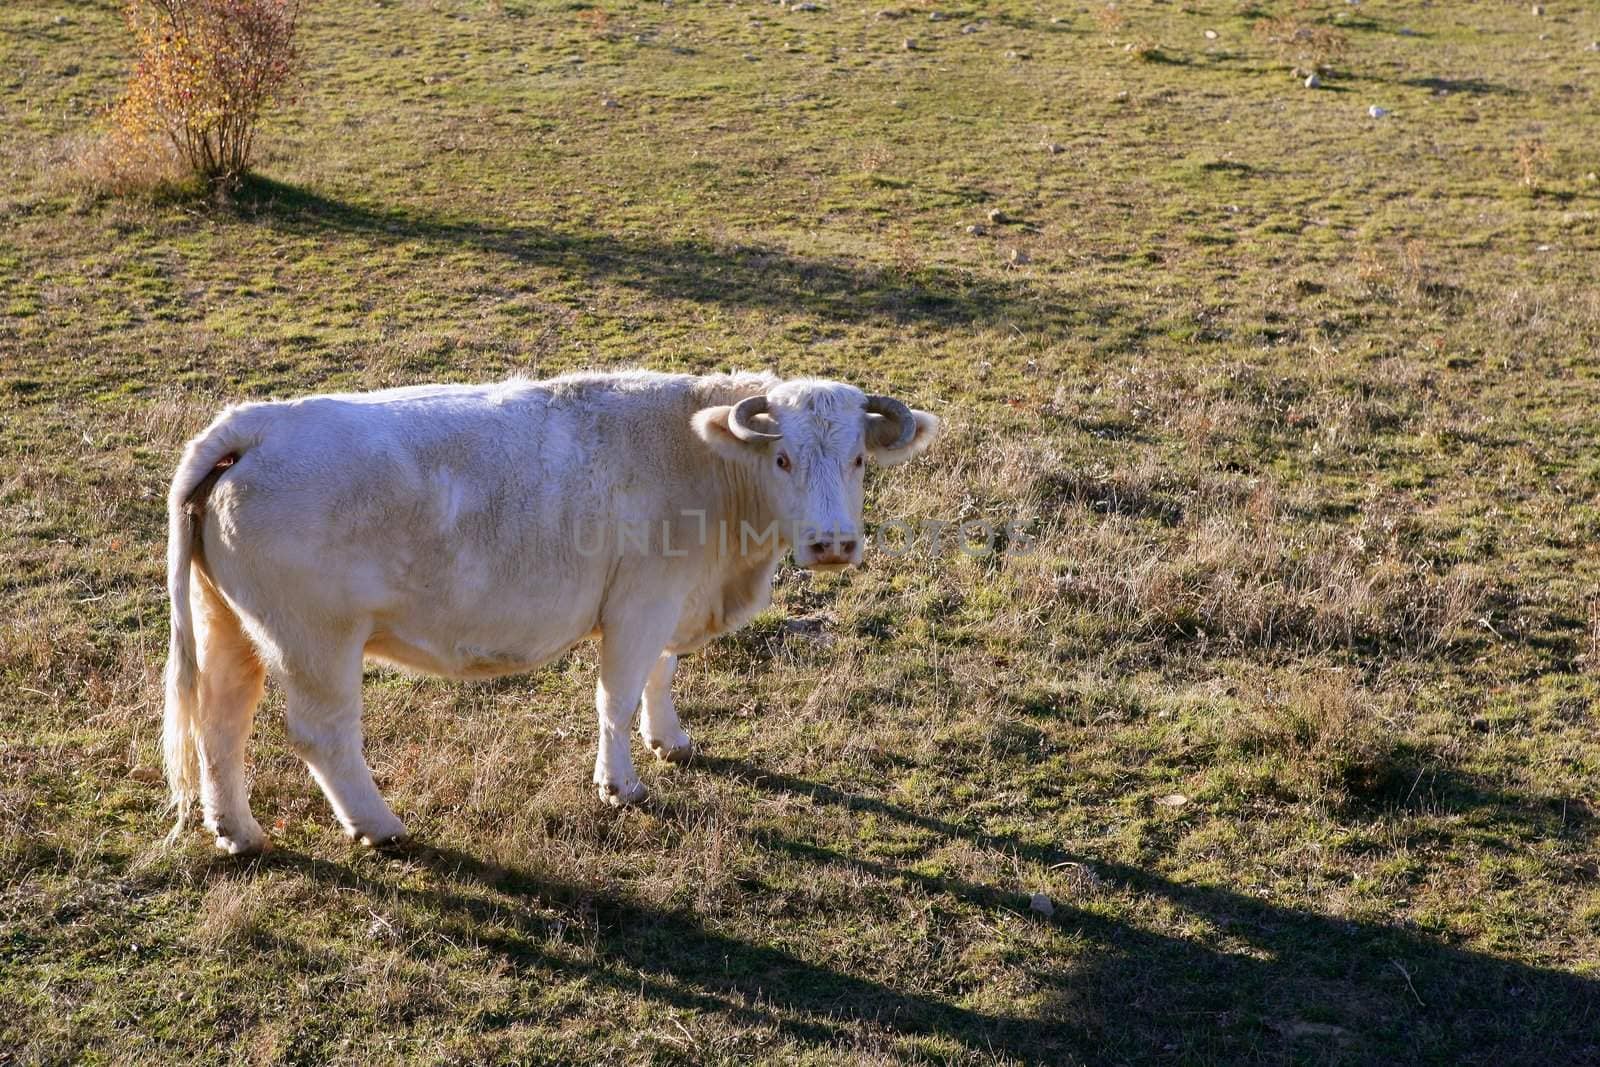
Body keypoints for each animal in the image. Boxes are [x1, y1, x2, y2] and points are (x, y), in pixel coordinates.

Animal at [162, 371, 934, 857]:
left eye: (858, 457)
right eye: (782, 458)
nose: (833, 543)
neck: (697, 457)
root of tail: (261, 423)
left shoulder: (672, 601)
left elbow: (660, 676)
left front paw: (670, 739)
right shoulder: (639, 605)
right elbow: (616, 695)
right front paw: (621, 784)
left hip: (228, 625)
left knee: (221, 721)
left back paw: (237, 831)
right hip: (315, 642)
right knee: (321, 735)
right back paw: (379, 824)